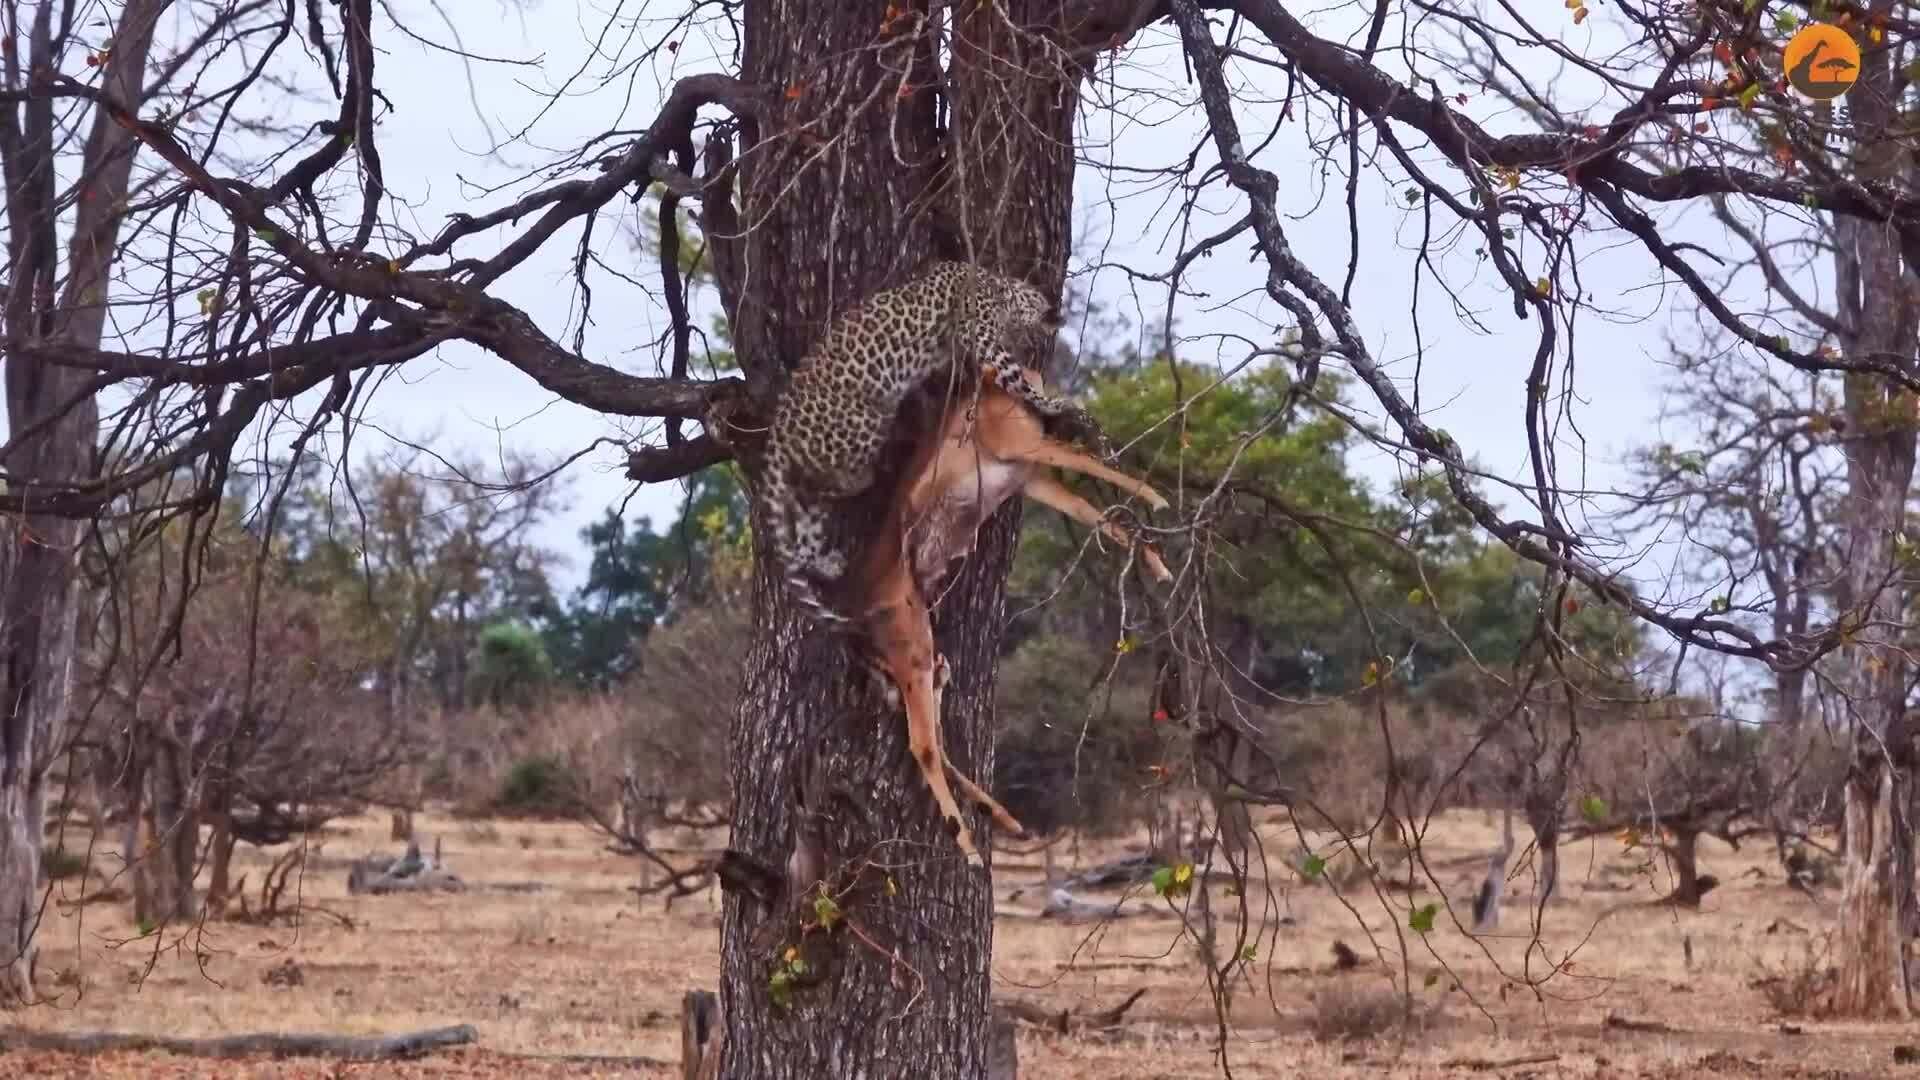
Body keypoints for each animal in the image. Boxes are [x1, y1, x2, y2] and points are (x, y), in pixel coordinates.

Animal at [760, 259, 1098, 622]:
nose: (1032, 346)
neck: (998, 287)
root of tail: (779, 426)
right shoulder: (986, 341)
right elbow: (1017, 381)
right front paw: (1055, 404)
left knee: (805, 528)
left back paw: (828, 563)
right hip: (866, 421)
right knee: (826, 485)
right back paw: (863, 480)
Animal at [833, 365, 1175, 860]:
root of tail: (854, 619)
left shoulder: (1031, 478)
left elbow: (1100, 517)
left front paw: (1161, 566)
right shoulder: (1027, 451)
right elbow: (1090, 461)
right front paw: (1158, 497)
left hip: (929, 664)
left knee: (936, 742)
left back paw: (1009, 823)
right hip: (915, 653)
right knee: (923, 746)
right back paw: (971, 848)